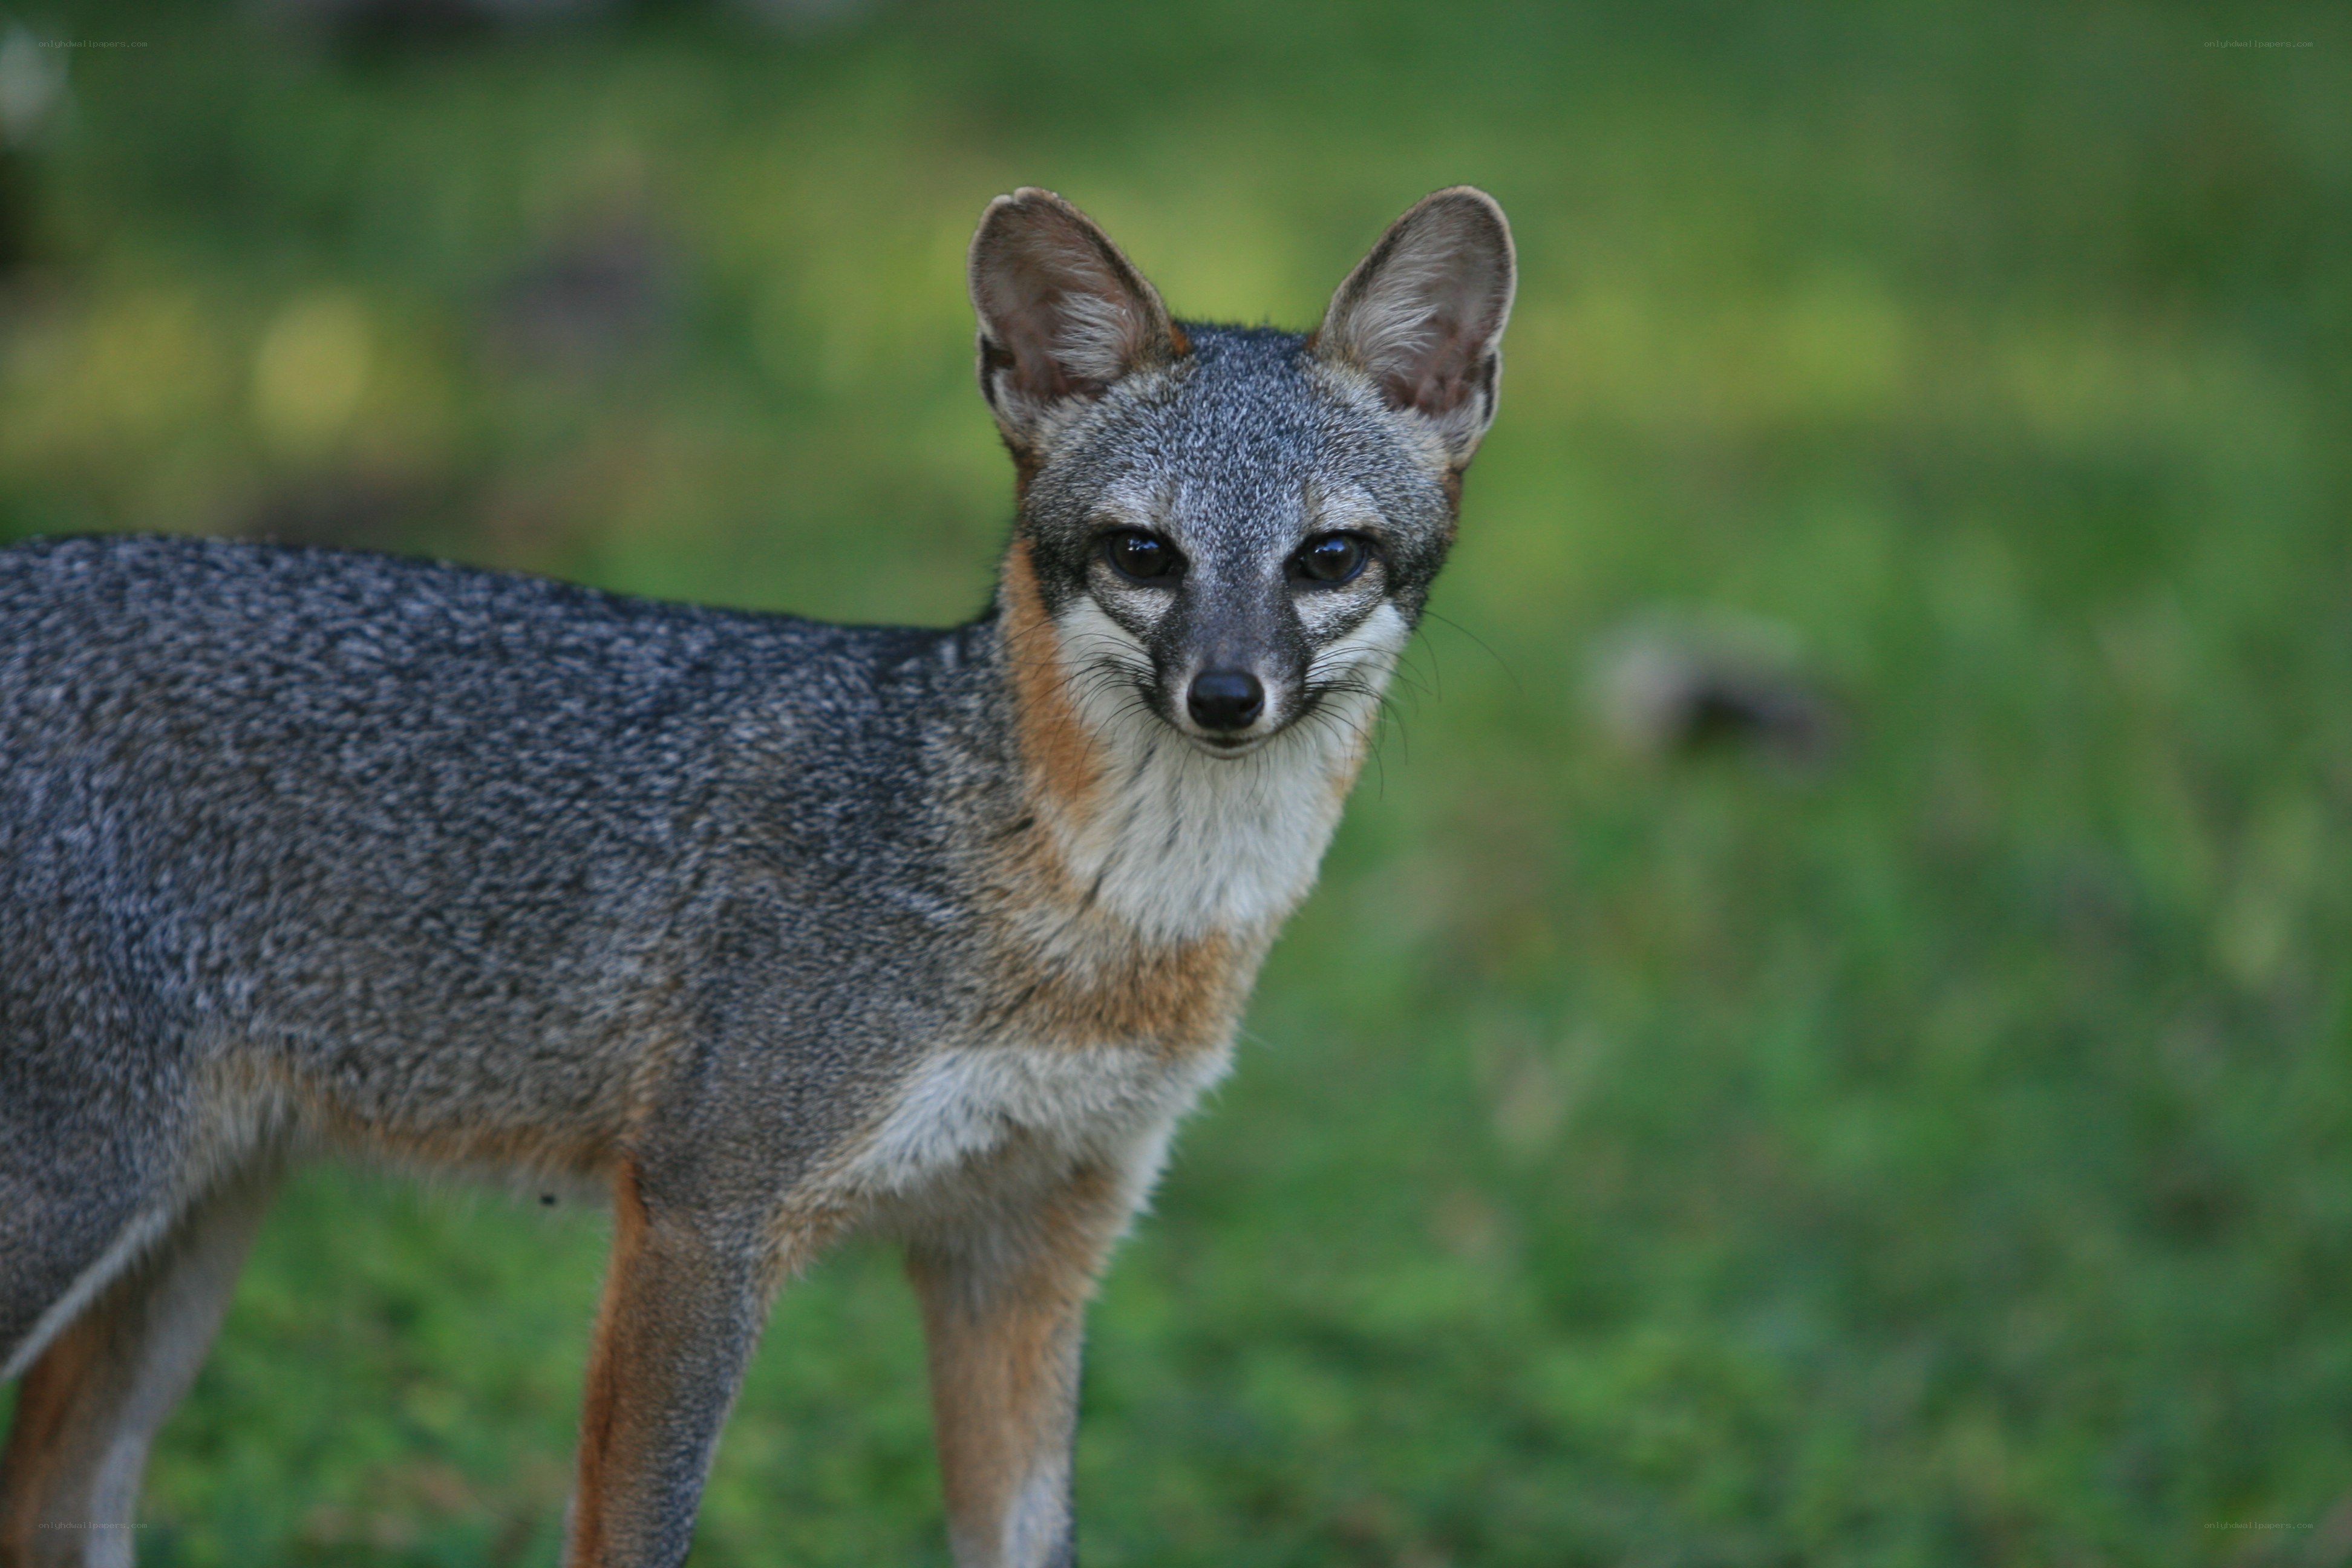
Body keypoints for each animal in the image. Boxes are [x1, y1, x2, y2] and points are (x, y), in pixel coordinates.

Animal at [0, 185, 1515, 1568]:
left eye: (1328, 559)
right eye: (1145, 554)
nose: (1227, 694)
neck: (1090, 917)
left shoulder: (1023, 1254)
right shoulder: (702, 1214)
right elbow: (636, 1536)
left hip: (189, 1228)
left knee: (54, 1501)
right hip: (86, 1203)